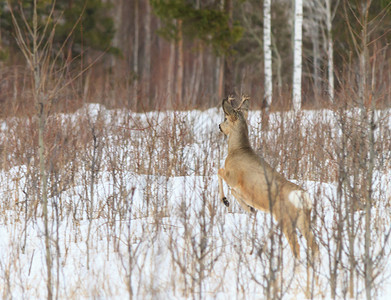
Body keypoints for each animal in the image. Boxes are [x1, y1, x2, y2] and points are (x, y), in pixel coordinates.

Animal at [219, 95, 320, 258]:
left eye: (225, 118)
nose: (219, 126)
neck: (237, 149)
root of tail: (303, 197)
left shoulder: (232, 176)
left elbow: (218, 171)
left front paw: (225, 201)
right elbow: (236, 193)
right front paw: (249, 208)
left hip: (285, 218)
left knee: (296, 246)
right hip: (303, 219)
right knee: (314, 245)